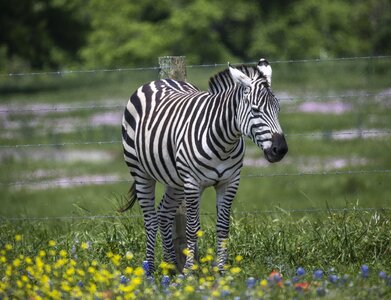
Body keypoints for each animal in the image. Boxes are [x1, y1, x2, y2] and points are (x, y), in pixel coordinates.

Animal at [121, 58, 290, 272]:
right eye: (255, 110)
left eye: (278, 109)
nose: (280, 149)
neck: (224, 142)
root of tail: (156, 81)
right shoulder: (193, 183)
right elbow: (192, 228)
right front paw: (189, 272)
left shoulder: (230, 182)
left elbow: (223, 227)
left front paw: (221, 270)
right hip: (141, 172)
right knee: (150, 219)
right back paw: (150, 271)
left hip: (176, 180)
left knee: (164, 214)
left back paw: (171, 268)